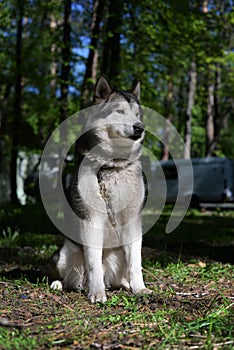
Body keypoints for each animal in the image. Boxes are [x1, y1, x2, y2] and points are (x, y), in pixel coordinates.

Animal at [50, 77, 152, 304]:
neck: (112, 165)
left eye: (137, 114)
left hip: (118, 255)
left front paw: (139, 288)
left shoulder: (133, 219)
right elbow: (93, 263)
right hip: (65, 253)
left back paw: (124, 285)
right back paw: (61, 284)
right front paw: (97, 293)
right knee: (72, 278)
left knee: (120, 274)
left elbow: (136, 263)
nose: (140, 127)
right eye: (120, 111)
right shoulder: (91, 220)